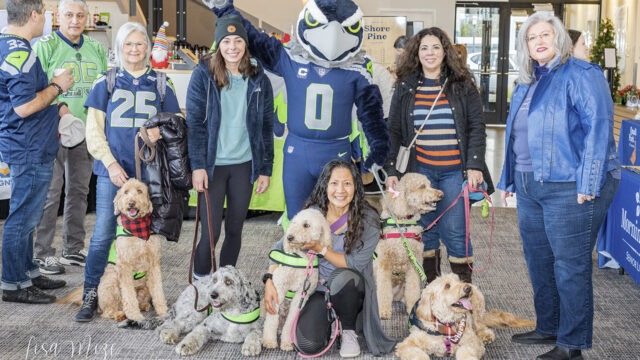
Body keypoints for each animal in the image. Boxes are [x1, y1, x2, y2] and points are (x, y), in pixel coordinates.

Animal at [97, 179, 168, 322]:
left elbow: (158, 290)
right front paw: (135, 316)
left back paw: (144, 305)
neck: (138, 231)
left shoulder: (153, 264)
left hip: (144, 287)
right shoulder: (125, 267)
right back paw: (119, 314)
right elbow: (129, 295)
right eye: (126, 192)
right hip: (110, 284)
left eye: (140, 191)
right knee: (108, 311)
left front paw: (163, 311)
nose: (131, 203)